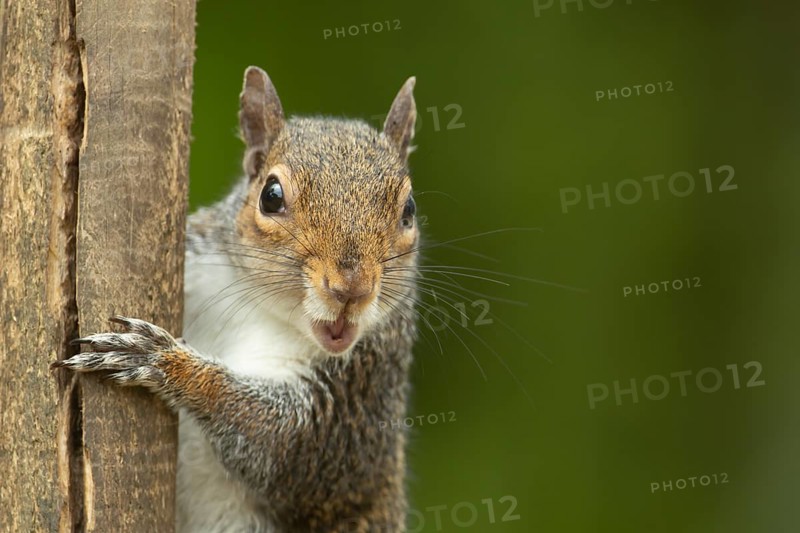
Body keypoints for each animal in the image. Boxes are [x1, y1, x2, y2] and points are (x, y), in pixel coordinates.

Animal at [53, 66, 421, 532]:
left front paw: (164, 361)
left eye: (408, 210)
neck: (262, 310)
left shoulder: (356, 399)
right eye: (271, 195)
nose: (351, 288)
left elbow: (277, 444)